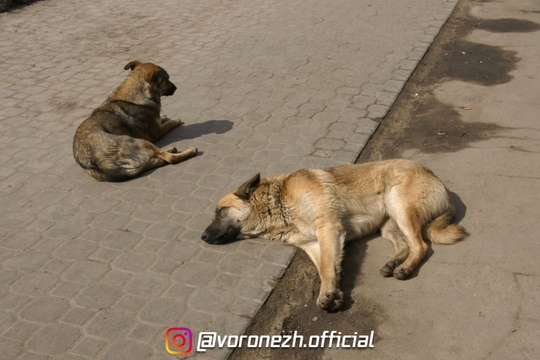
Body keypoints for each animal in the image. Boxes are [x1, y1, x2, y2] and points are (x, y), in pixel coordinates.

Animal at [202, 159, 468, 310]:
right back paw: (393, 263)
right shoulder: (313, 243)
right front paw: (335, 291)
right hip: (388, 223)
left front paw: (328, 293)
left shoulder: (329, 228)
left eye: (219, 211)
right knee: (406, 246)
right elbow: (326, 267)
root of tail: (438, 181)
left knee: (421, 246)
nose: (202, 237)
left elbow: (329, 266)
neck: (277, 203)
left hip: (399, 206)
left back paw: (405, 268)